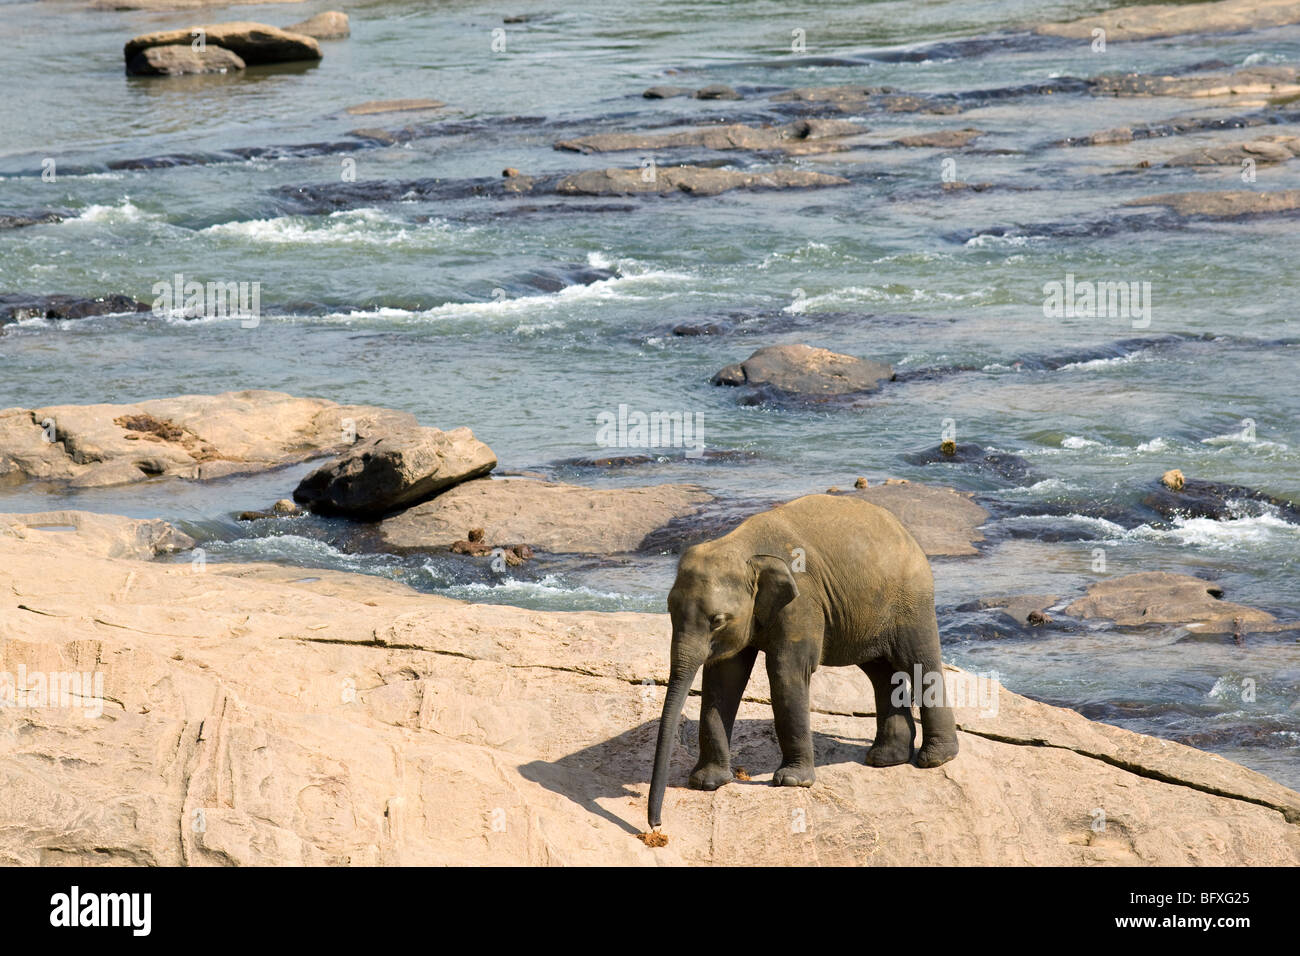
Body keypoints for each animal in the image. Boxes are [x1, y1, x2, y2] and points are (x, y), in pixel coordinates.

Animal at [647, 494, 961, 832]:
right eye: (669, 609)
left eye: (717, 620)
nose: (656, 825)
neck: (743, 546)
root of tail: (906, 532)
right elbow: (724, 678)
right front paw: (707, 783)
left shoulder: (802, 603)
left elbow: (786, 673)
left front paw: (791, 782)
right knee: (880, 672)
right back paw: (885, 759)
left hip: (911, 599)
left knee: (919, 661)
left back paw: (935, 759)